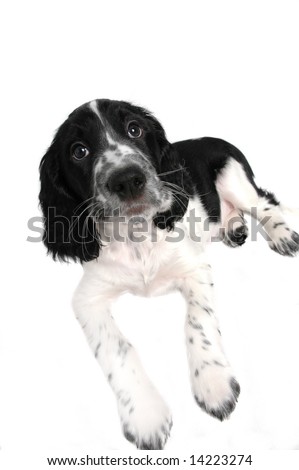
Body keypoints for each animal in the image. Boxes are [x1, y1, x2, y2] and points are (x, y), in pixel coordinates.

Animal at [39, 98, 299, 448]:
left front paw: (214, 382)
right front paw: (145, 413)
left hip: (233, 176)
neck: (137, 238)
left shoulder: (194, 267)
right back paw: (234, 228)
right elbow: (116, 346)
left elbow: (197, 321)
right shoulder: (87, 298)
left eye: (135, 129)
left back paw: (282, 235)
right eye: (78, 151)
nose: (127, 179)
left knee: (265, 202)